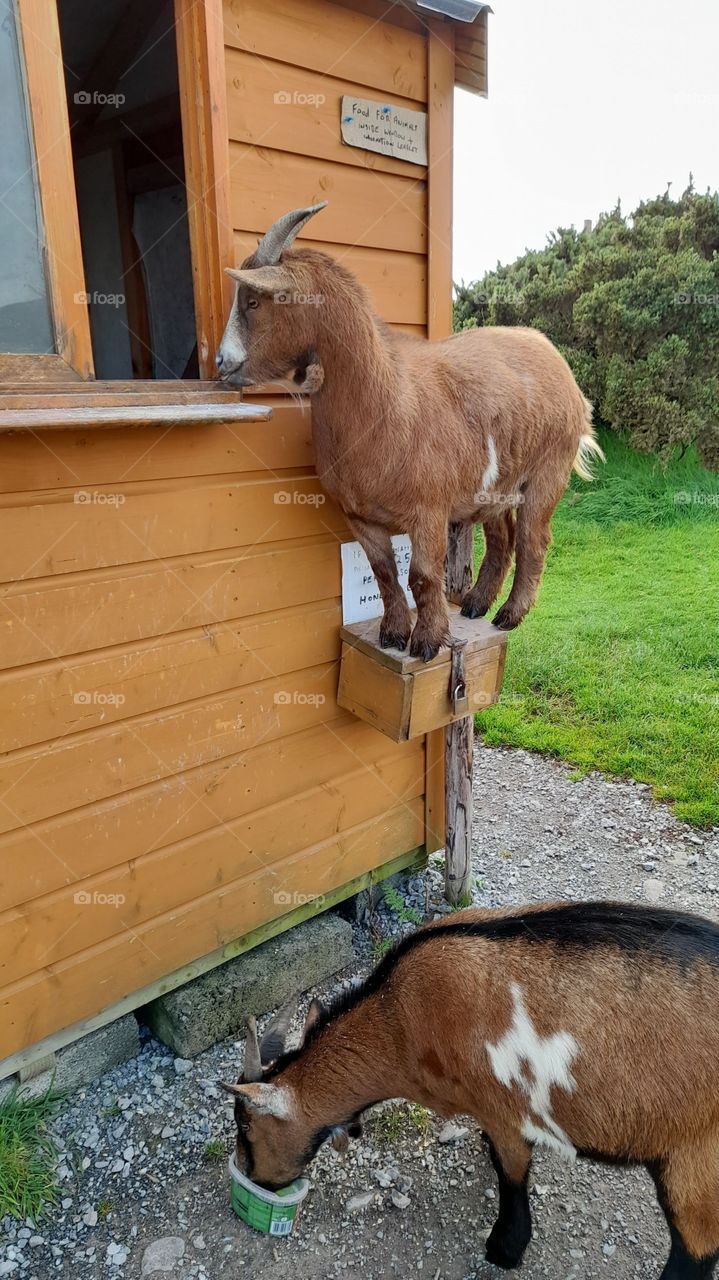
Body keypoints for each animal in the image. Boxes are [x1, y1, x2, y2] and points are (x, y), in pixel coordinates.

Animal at [216, 204, 604, 661]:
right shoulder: (359, 515)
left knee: (533, 539)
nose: (221, 363)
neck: (387, 399)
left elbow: (422, 575)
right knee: (502, 538)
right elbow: (384, 573)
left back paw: (509, 614)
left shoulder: (429, 510)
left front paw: (427, 640)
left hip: (549, 468)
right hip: (496, 485)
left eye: (253, 300)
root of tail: (554, 355)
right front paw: (393, 633)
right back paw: (476, 603)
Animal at [221, 901, 719, 1279]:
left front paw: (504, 1249)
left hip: (696, 1162)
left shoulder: (505, 1111)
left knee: (694, 1253)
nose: (253, 1176)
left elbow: (511, 1176)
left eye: (245, 1127)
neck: (400, 1021)